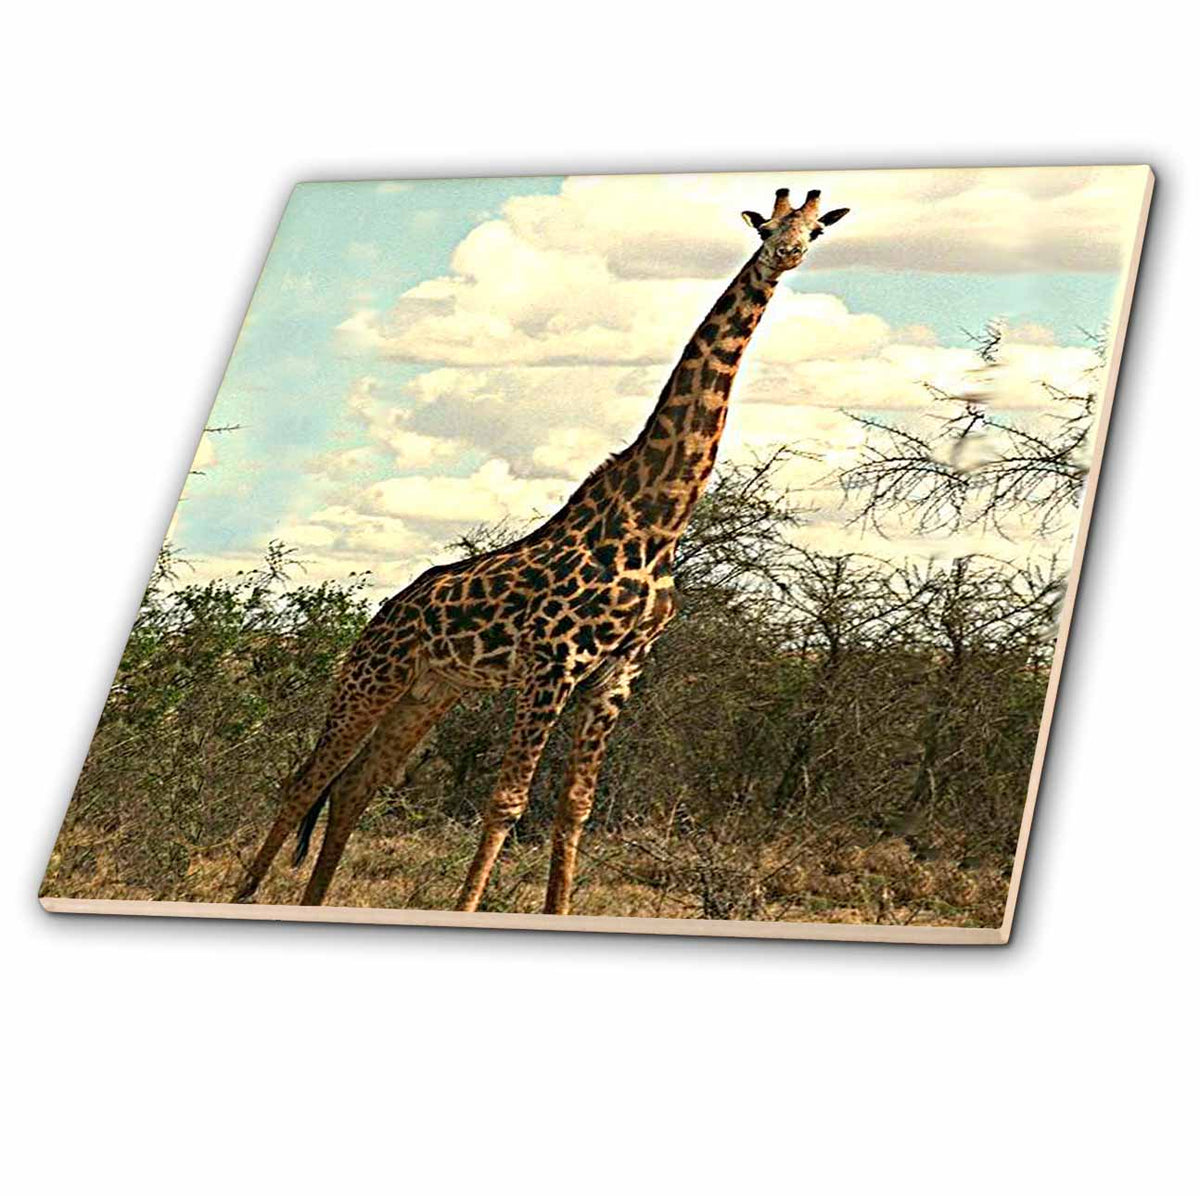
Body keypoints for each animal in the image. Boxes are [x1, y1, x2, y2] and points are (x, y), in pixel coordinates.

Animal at [234, 185, 850, 915]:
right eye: (765, 227)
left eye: (814, 230)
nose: (785, 254)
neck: (655, 523)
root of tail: (382, 614)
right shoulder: (553, 662)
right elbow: (506, 801)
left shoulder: (617, 674)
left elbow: (575, 807)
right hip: (372, 677)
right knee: (305, 780)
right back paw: (246, 896)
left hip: (430, 689)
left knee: (356, 787)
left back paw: (315, 902)